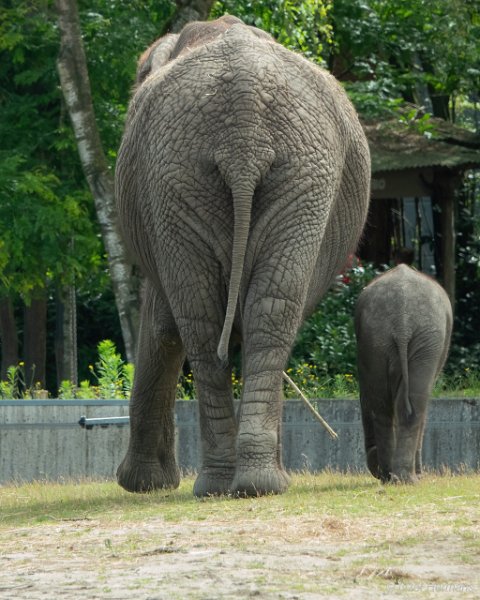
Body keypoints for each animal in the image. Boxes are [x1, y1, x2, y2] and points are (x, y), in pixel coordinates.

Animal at [115, 15, 372, 496]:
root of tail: (244, 124)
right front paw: (147, 484)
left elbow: (162, 325)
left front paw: (142, 485)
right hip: (255, 173)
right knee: (260, 312)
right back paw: (249, 483)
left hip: (213, 173)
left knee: (212, 317)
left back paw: (238, 483)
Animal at [354, 264, 452, 486]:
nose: (374, 469)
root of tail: (403, 320)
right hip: (421, 338)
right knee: (402, 406)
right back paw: (402, 478)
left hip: (381, 337)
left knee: (391, 406)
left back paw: (395, 478)